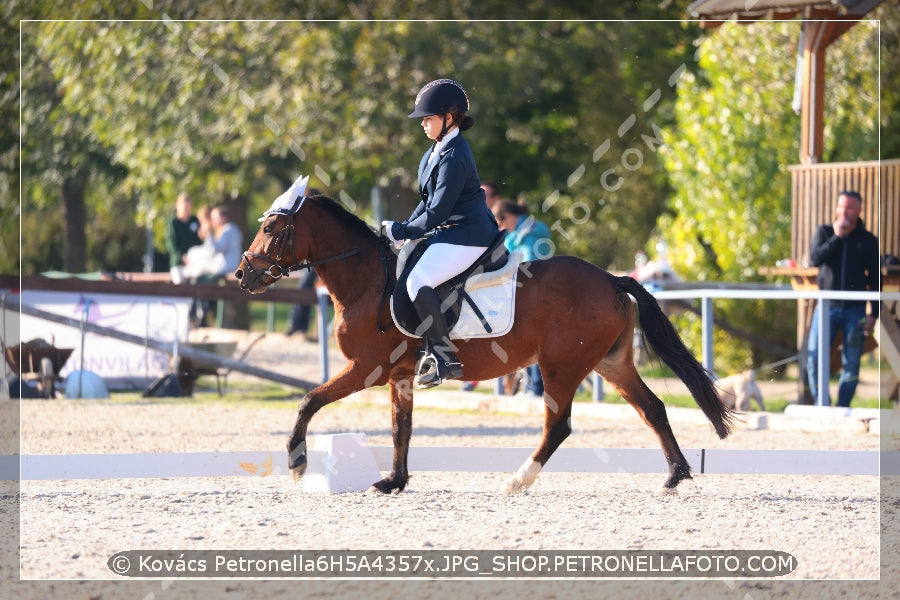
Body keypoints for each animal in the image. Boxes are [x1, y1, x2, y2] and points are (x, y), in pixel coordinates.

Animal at [236, 195, 736, 494]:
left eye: (272, 229)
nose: (242, 275)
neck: (366, 280)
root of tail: (611, 279)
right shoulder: (400, 374)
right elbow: (401, 428)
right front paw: (394, 481)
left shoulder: (366, 369)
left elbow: (308, 400)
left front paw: (298, 462)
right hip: (611, 365)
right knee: (653, 408)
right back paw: (675, 475)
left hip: (560, 368)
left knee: (558, 427)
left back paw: (518, 480)